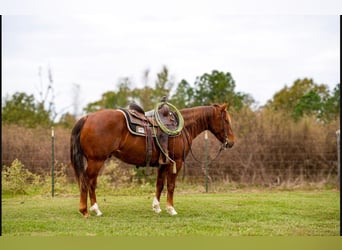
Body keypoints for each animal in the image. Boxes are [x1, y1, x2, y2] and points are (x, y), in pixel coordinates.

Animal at [70, 103, 234, 217]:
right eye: (226, 120)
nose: (231, 142)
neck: (182, 128)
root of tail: (87, 117)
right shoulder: (177, 162)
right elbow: (171, 186)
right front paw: (171, 208)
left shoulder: (163, 163)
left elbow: (159, 185)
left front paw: (157, 207)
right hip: (96, 160)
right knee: (86, 182)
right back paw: (85, 210)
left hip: (95, 161)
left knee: (91, 183)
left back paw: (95, 210)